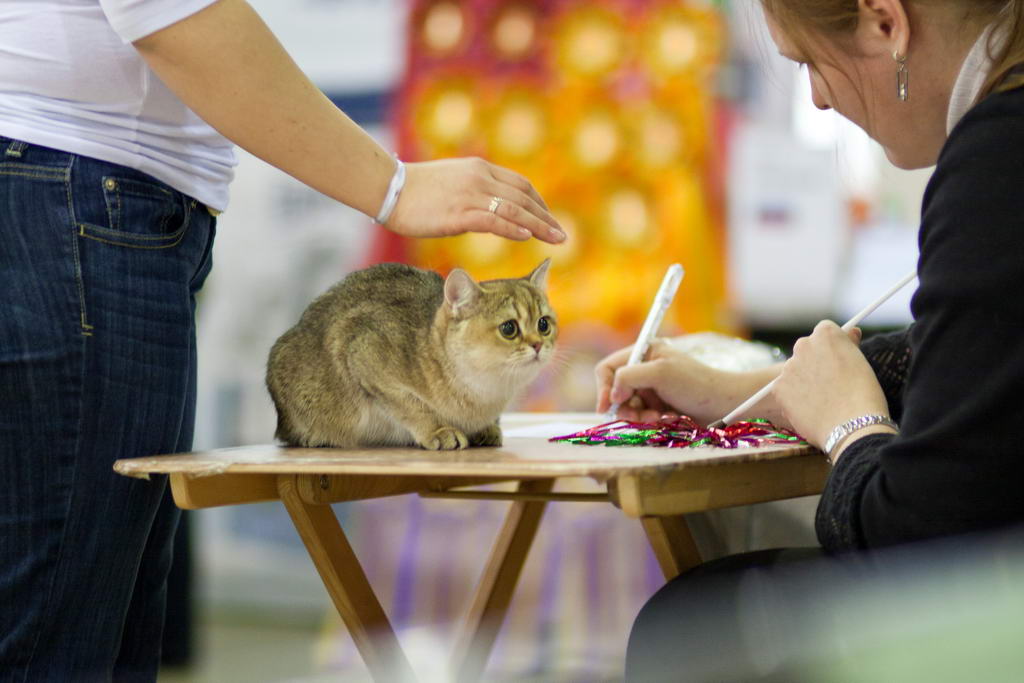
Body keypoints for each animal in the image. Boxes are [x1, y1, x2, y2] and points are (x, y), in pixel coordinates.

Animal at [264, 259, 552, 450]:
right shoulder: (362, 353)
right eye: (509, 328)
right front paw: (438, 431)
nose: (538, 345)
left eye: (544, 324)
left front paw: (487, 428)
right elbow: (411, 406)